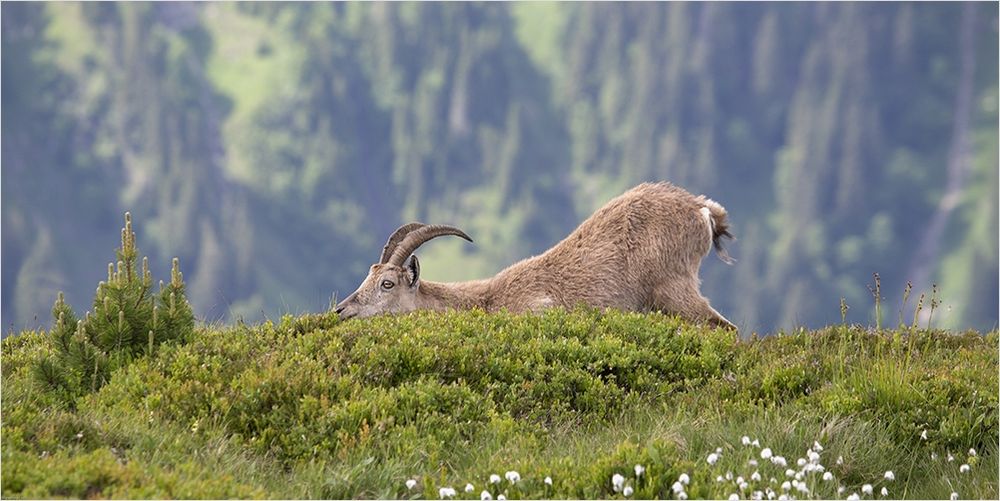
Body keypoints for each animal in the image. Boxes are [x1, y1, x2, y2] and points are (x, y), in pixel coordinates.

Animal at [336, 182, 736, 330]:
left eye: (387, 283)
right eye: (369, 274)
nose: (341, 309)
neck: (485, 301)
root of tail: (702, 210)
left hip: (673, 287)